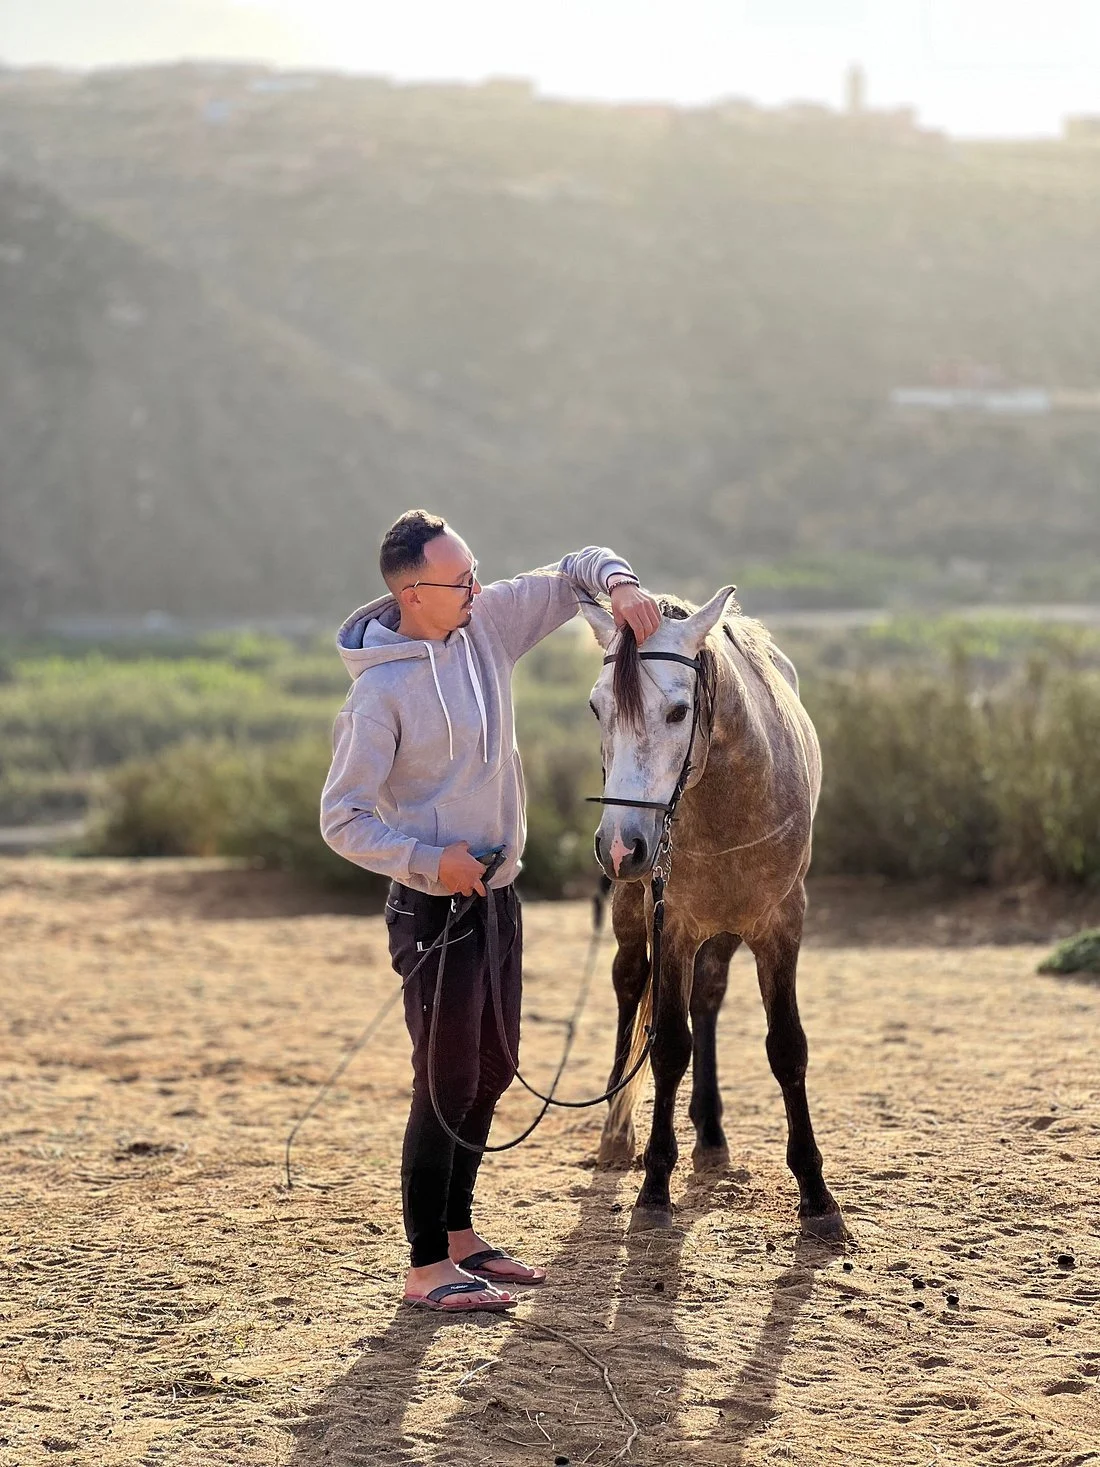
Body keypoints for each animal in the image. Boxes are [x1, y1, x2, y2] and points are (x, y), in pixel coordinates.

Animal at [581, 586, 848, 1242]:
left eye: (679, 712)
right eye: (598, 709)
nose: (621, 846)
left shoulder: (780, 926)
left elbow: (787, 1047)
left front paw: (816, 1195)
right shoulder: (673, 925)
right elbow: (669, 1046)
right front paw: (654, 1186)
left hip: (723, 931)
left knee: (707, 993)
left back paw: (710, 1134)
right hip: (633, 911)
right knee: (630, 984)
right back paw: (617, 1134)